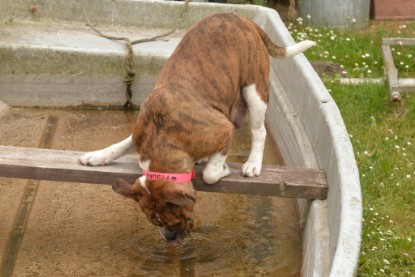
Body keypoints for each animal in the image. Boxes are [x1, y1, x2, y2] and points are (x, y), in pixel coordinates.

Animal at [79, 12, 316, 246]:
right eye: (155, 222)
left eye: (174, 219)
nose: (169, 238)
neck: (160, 139)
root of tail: (240, 17)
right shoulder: (139, 133)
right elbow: (120, 144)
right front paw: (97, 156)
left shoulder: (224, 129)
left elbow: (211, 174)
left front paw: (222, 169)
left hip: (255, 89)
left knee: (259, 131)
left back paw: (252, 164)